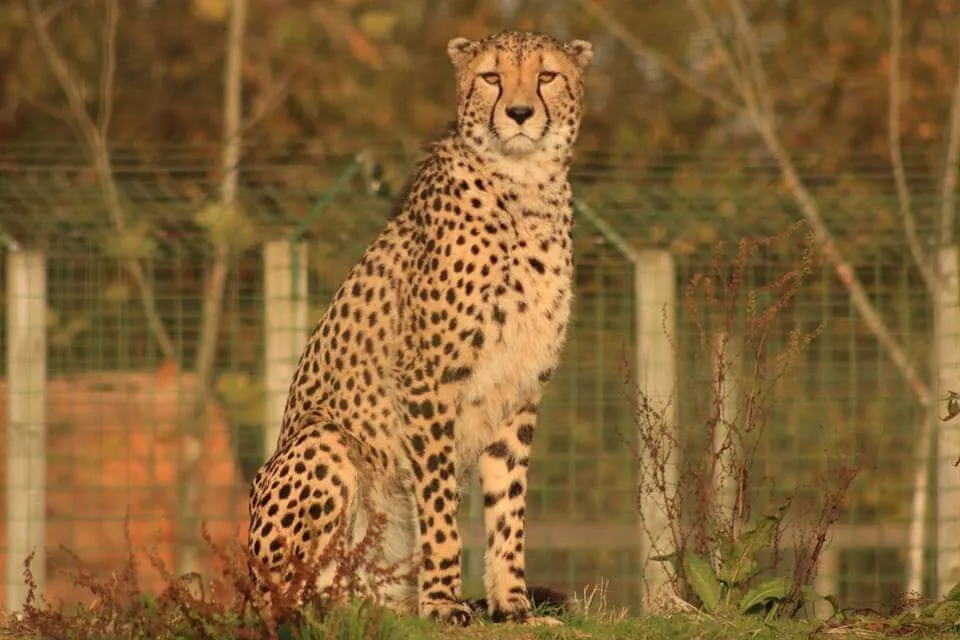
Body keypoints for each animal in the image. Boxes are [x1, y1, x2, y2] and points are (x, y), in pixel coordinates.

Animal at [247, 30, 593, 626]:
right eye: (491, 77)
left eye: (546, 75)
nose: (519, 113)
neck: (526, 188)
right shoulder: (427, 381)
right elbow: (439, 505)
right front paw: (444, 603)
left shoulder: (519, 388)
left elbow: (508, 507)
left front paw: (513, 606)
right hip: (323, 440)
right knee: (290, 598)